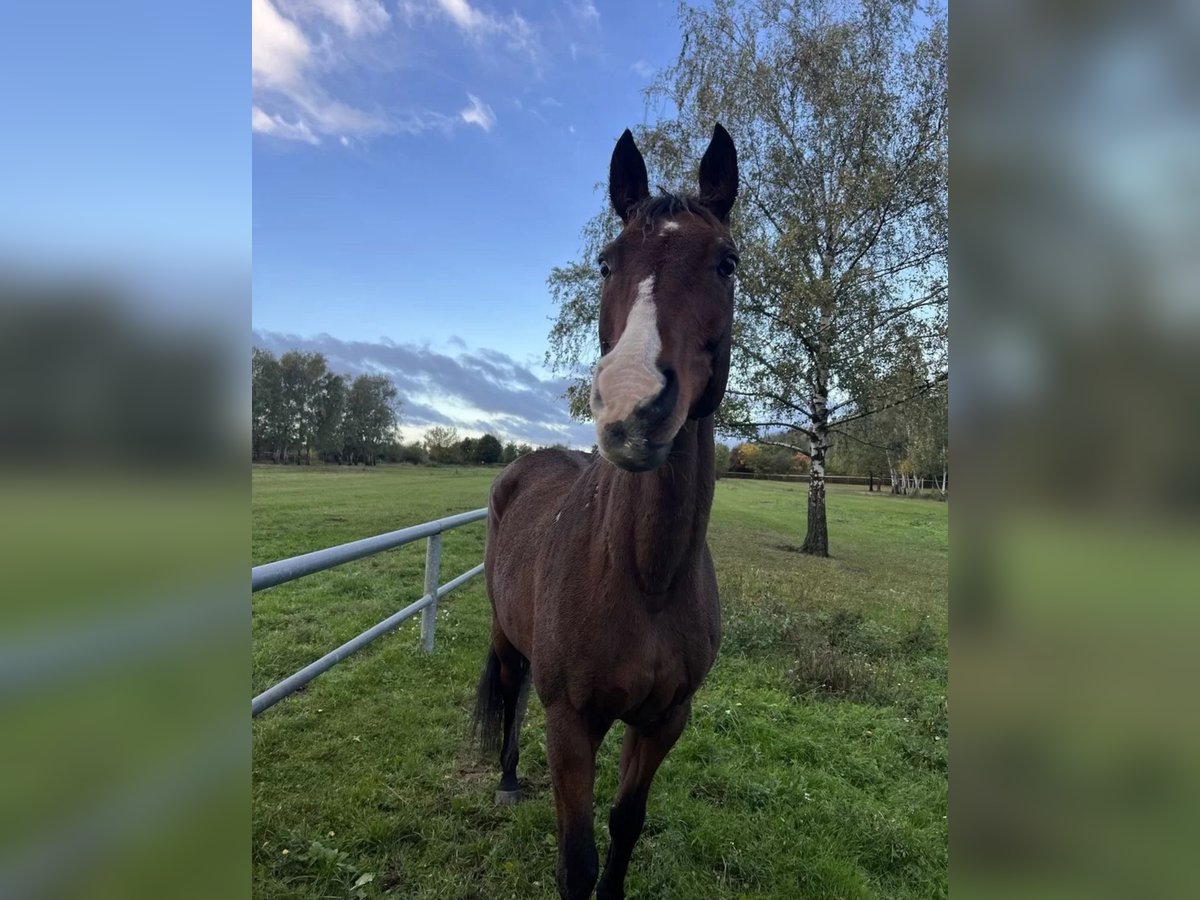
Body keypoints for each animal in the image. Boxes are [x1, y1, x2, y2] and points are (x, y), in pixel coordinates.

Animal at [470, 123, 734, 897]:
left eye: (727, 262)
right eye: (605, 262)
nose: (631, 407)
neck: (645, 574)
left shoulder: (664, 720)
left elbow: (625, 828)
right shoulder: (571, 724)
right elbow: (576, 858)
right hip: (507, 638)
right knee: (512, 691)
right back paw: (506, 780)